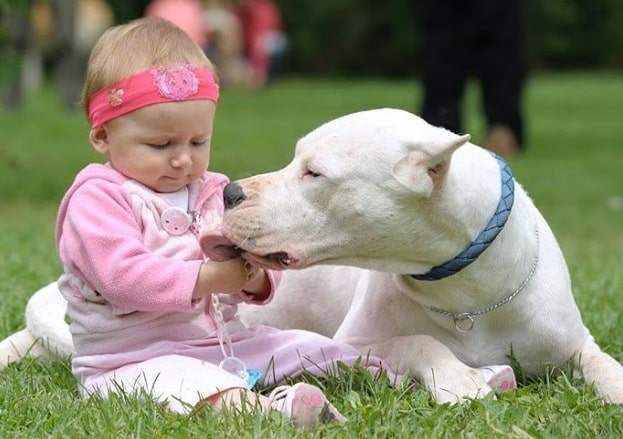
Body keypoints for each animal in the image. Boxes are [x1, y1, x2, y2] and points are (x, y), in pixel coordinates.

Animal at [1, 109, 623, 406]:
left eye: (314, 173)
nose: (229, 192)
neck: (467, 296)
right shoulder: (363, 342)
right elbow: (418, 342)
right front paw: (457, 378)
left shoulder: (570, 341)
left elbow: (600, 362)